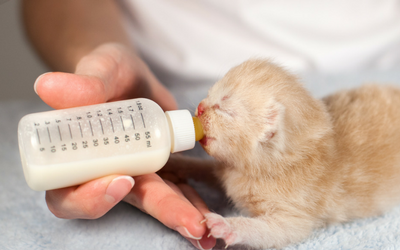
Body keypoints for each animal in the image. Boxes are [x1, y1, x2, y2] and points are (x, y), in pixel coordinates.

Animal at [191, 59, 400, 249]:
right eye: (209, 94)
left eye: (223, 109)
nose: (200, 107)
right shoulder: (225, 167)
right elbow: (202, 168)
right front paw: (183, 163)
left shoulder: (295, 212)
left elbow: (273, 231)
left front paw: (226, 225)